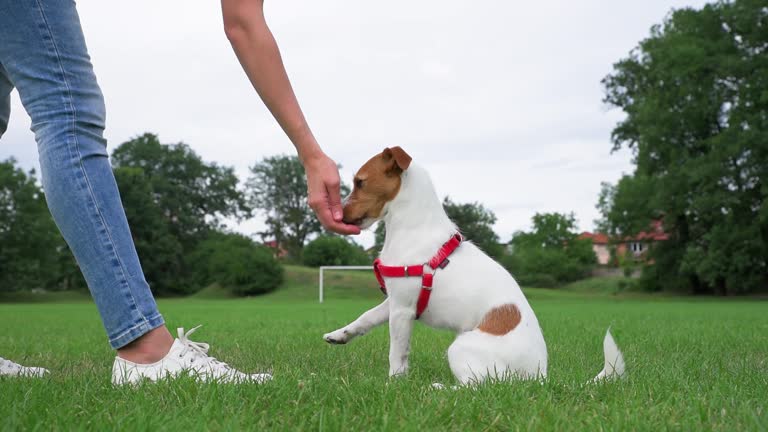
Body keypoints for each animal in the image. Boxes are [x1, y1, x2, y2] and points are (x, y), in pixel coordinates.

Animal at [324, 148, 624, 384]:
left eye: (360, 182)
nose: (339, 215)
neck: (413, 228)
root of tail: (539, 377)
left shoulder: (402, 311)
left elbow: (397, 354)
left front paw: (394, 384)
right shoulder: (394, 301)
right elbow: (365, 318)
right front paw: (340, 334)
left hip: (460, 348)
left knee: (480, 386)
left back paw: (438, 389)